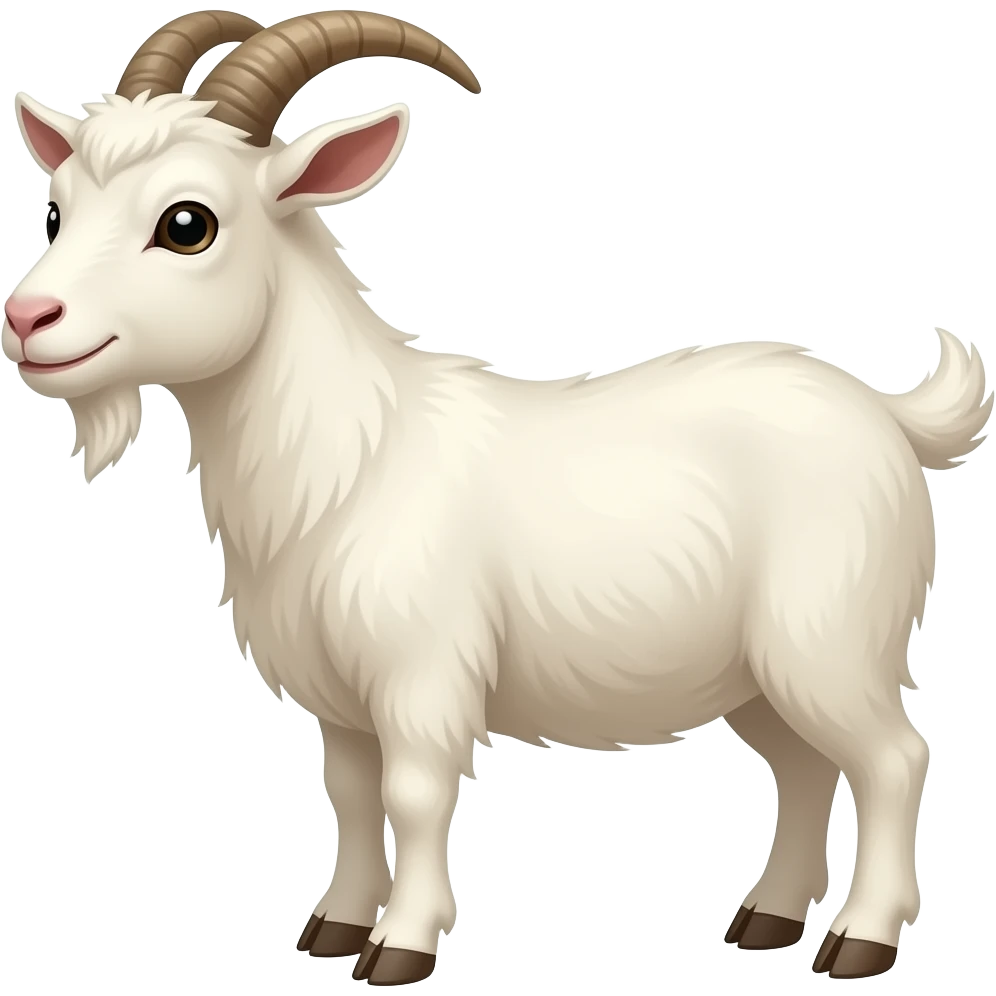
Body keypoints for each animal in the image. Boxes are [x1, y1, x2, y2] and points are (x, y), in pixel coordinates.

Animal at [4, 9, 991, 986]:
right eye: (57, 207)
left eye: (187, 224)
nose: (27, 318)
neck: (352, 458)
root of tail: (889, 417)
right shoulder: (339, 698)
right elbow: (351, 796)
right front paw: (335, 927)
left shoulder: (421, 674)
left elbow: (413, 793)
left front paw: (401, 945)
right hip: (754, 671)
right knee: (806, 768)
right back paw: (769, 919)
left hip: (828, 638)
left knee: (895, 758)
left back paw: (861, 940)